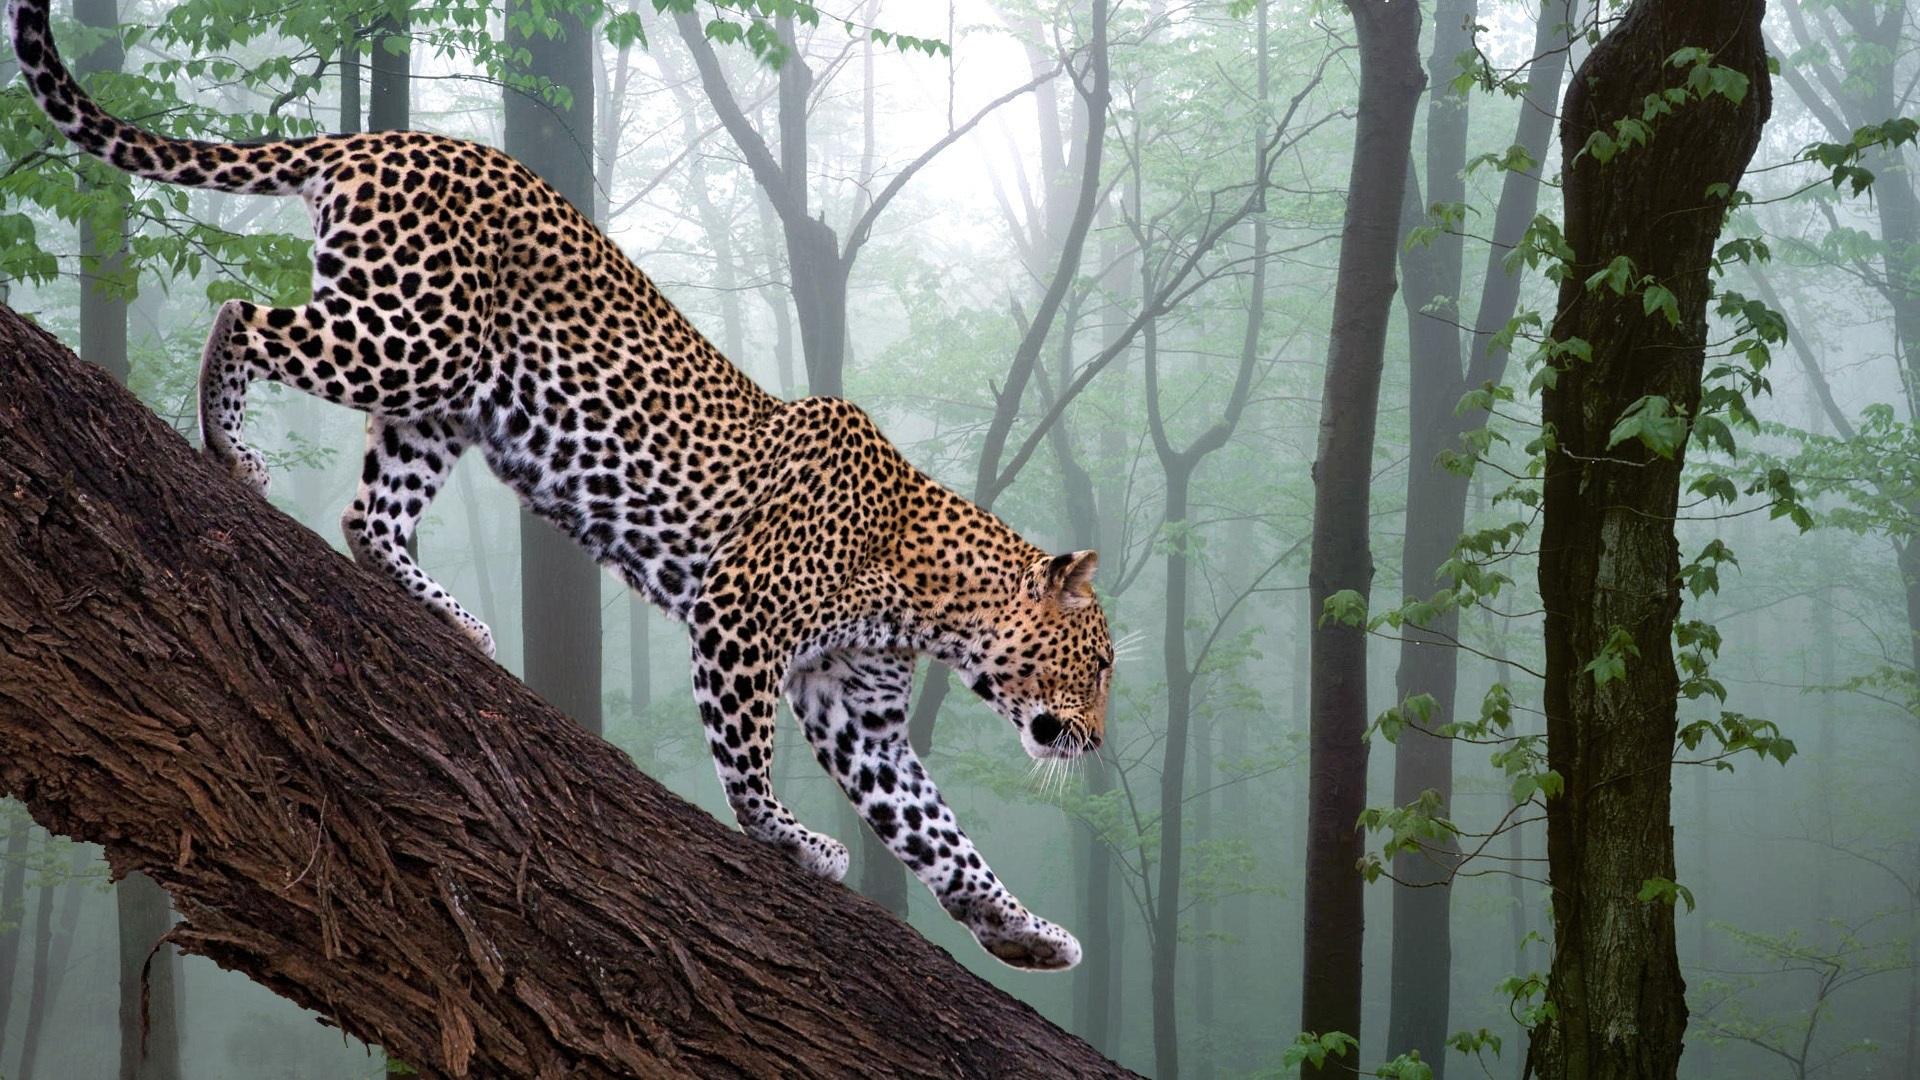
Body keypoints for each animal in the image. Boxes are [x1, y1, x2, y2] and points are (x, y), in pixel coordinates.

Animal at [10, 0, 1116, 969]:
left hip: (445, 400)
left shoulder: (861, 716)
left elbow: (939, 834)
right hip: (410, 341)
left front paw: (1023, 931)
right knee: (241, 314)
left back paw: (452, 618)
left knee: (370, 513)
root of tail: (381, 139)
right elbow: (748, 758)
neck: (931, 600)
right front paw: (789, 841)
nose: (1098, 745)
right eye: (1101, 661)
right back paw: (229, 448)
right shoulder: (740, 619)